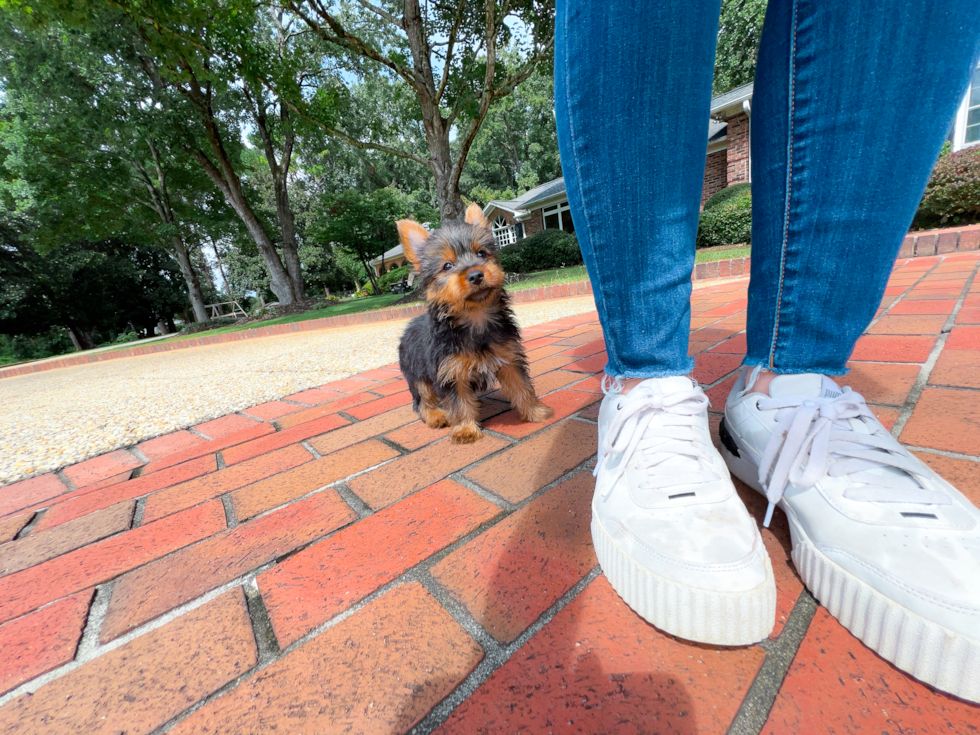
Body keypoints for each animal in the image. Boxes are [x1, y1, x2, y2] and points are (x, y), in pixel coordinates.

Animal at [396, 203, 552, 442]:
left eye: (482, 254)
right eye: (447, 266)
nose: (476, 275)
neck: (474, 317)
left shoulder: (509, 358)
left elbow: (522, 386)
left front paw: (535, 411)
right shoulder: (451, 372)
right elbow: (459, 402)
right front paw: (465, 429)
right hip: (416, 373)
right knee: (422, 400)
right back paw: (435, 416)